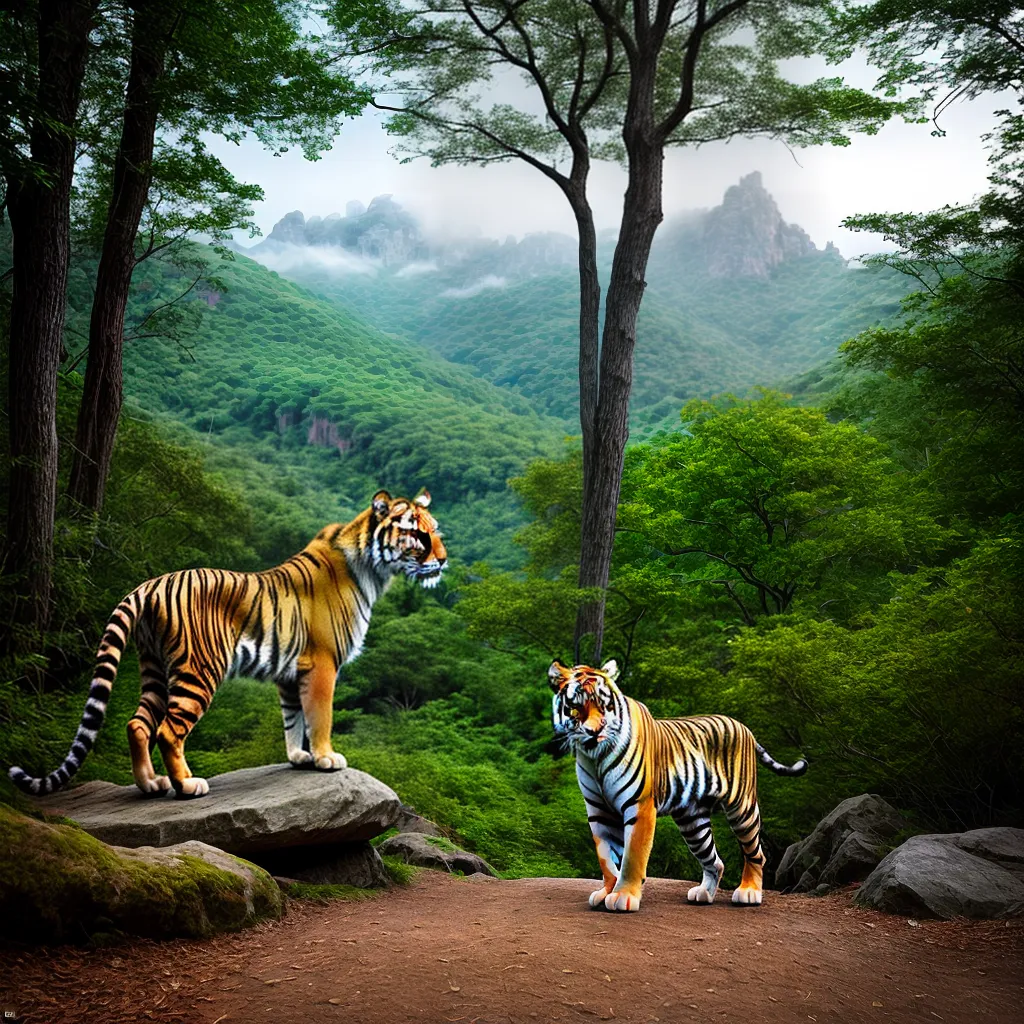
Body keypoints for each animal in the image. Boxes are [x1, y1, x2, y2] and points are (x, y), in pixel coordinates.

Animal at [9, 490, 447, 800]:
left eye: (435, 530)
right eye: (417, 533)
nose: (443, 561)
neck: (372, 570)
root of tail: (148, 584)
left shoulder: (291, 671)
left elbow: (293, 719)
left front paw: (300, 758)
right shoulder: (322, 663)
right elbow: (319, 716)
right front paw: (326, 758)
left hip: (154, 668)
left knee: (137, 723)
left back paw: (151, 785)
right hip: (198, 670)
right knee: (168, 730)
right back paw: (187, 785)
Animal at [549, 659, 807, 912]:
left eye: (604, 706)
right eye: (575, 708)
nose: (594, 733)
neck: (595, 757)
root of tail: (744, 727)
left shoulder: (639, 806)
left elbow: (632, 857)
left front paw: (623, 896)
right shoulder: (599, 811)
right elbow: (607, 858)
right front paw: (606, 892)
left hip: (741, 807)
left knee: (756, 853)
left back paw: (749, 893)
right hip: (692, 821)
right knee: (715, 861)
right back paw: (704, 894)